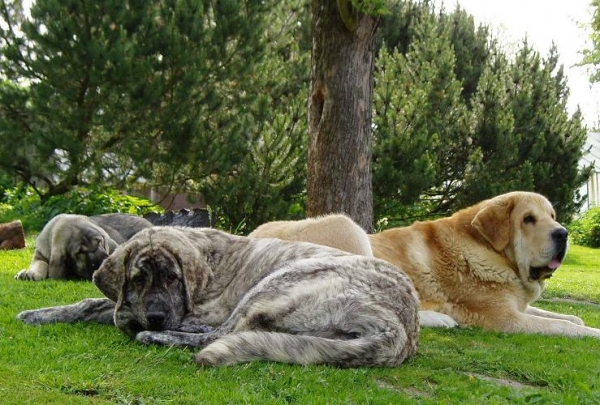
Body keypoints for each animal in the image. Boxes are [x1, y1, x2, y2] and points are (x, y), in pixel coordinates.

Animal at [19, 227, 422, 366]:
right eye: (139, 278)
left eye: (173, 278)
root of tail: (402, 330)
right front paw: (39, 313)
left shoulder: (199, 310)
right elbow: (91, 302)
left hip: (279, 281)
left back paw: (155, 337)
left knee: (221, 334)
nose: (156, 316)